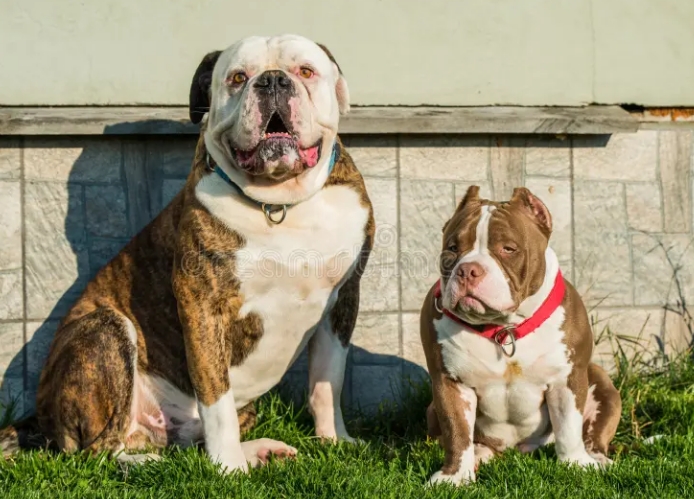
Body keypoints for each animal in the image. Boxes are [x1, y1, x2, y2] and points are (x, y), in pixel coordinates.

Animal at [5, 34, 376, 472]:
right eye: (238, 77)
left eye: (305, 71)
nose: (272, 81)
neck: (280, 203)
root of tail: (38, 418)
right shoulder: (203, 305)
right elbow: (216, 399)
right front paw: (229, 470)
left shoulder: (342, 299)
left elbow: (327, 380)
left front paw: (335, 440)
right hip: (105, 329)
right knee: (99, 451)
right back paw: (167, 464)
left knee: (185, 440)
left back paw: (256, 450)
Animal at [422, 186, 624, 486]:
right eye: (452, 248)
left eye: (508, 249)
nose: (467, 270)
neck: (503, 329)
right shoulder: (449, 382)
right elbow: (456, 431)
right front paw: (454, 477)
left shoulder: (566, 378)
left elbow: (568, 427)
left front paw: (576, 464)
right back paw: (480, 453)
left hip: (600, 381)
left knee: (592, 434)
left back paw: (597, 459)